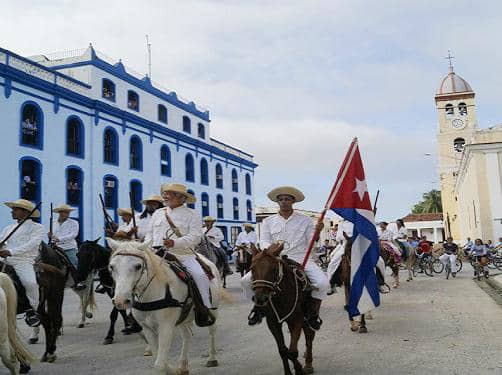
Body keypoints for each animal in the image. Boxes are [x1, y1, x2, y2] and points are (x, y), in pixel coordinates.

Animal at [109, 241, 224, 375]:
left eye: (138, 266)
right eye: (112, 267)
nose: (120, 301)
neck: (151, 294)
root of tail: (207, 261)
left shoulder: (166, 326)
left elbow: (160, 364)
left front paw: (173, 370)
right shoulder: (147, 328)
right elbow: (158, 360)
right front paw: (175, 369)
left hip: (213, 311)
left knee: (212, 331)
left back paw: (212, 358)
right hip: (183, 318)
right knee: (187, 335)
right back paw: (183, 365)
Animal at [251, 244, 318, 375]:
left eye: (273, 269)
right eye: (252, 268)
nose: (260, 298)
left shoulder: (296, 320)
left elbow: (292, 352)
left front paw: (299, 370)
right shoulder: (273, 323)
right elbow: (283, 350)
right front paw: (289, 371)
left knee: (309, 335)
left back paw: (308, 364)